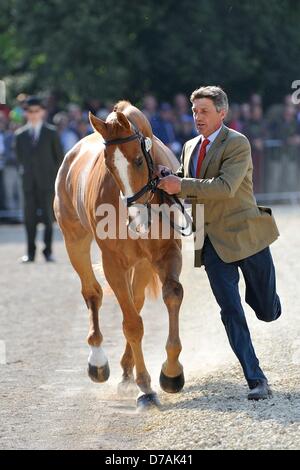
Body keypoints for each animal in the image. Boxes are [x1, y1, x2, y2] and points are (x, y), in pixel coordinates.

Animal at [54, 102, 185, 408]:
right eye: (109, 166)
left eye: (138, 160)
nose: (135, 219)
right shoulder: (113, 263)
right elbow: (132, 324)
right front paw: (145, 387)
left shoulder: (165, 253)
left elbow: (172, 294)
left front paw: (171, 373)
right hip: (74, 241)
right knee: (93, 293)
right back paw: (98, 363)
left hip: (143, 264)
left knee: (135, 301)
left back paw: (126, 372)